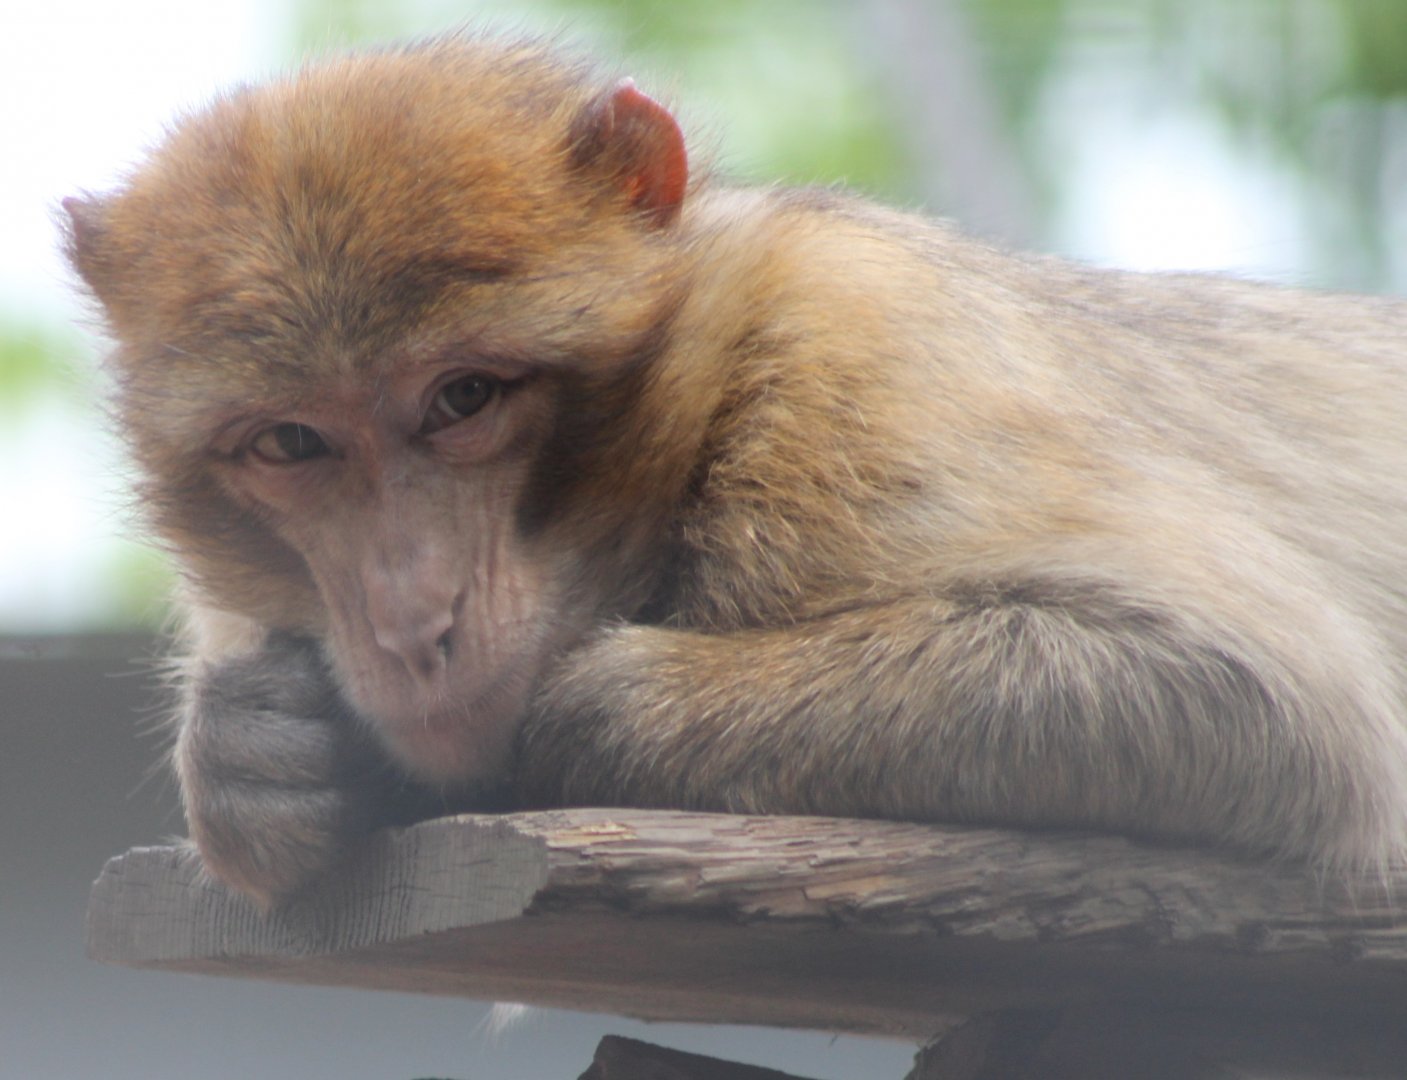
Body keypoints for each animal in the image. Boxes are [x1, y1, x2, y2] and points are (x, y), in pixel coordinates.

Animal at [63, 32, 1407, 907]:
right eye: (291, 443)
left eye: (463, 399)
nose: (408, 619)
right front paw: (252, 752)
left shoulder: (862, 356)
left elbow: (1255, 700)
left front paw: (570, 712)